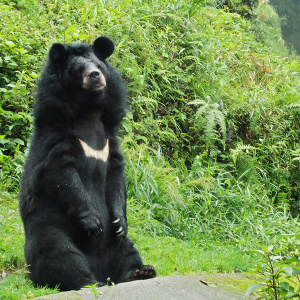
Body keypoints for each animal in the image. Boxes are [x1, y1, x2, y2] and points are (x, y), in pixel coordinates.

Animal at [18, 37, 157, 290]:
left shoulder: (110, 141)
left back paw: (139, 271)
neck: (89, 112)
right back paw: (86, 281)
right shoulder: (56, 137)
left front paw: (119, 220)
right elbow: (61, 174)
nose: (95, 75)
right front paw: (93, 221)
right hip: (50, 228)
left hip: (116, 245)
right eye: (78, 69)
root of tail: (101, 269)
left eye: (98, 66)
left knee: (126, 249)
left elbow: (115, 176)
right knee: (58, 254)